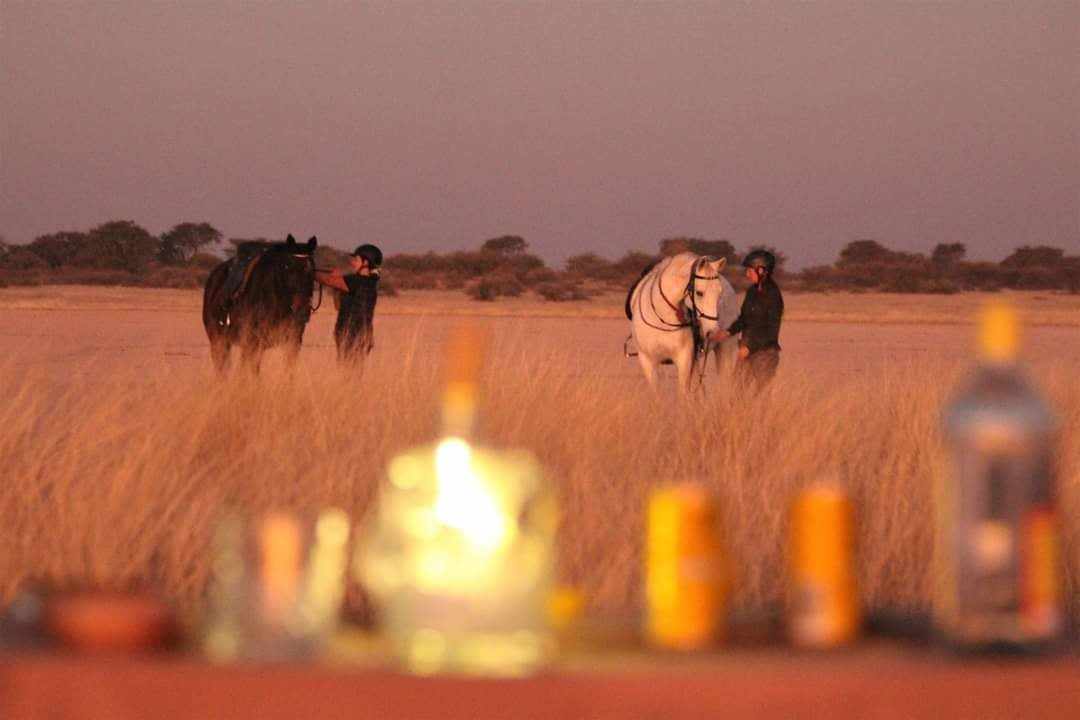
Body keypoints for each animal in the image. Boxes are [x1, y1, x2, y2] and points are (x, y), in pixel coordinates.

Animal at [202, 235, 319, 373]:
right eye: (288, 267)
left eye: (312, 270)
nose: (302, 308)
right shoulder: (253, 343)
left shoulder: (293, 342)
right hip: (218, 341)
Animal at [625, 252, 739, 393]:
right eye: (699, 293)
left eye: (719, 293)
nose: (714, 333)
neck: (662, 317)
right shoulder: (647, 361)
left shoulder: (684, 359)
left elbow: (682, 393)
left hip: (726, 349)